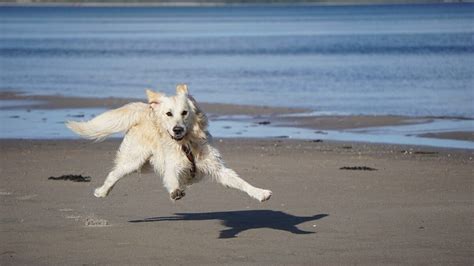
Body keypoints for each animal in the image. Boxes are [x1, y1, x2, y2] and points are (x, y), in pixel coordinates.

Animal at [67, 84, 274, 202]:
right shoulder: (172, 166)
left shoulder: (217, 168)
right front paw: (175, 191)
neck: (186, 144)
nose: (177, 129)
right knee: (113, 174)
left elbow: (240, 182)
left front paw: (260, 193)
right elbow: (172, 178)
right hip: (133, 160)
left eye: (184, 112)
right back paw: (102, 192)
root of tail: (146, 110)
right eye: (169, 114)